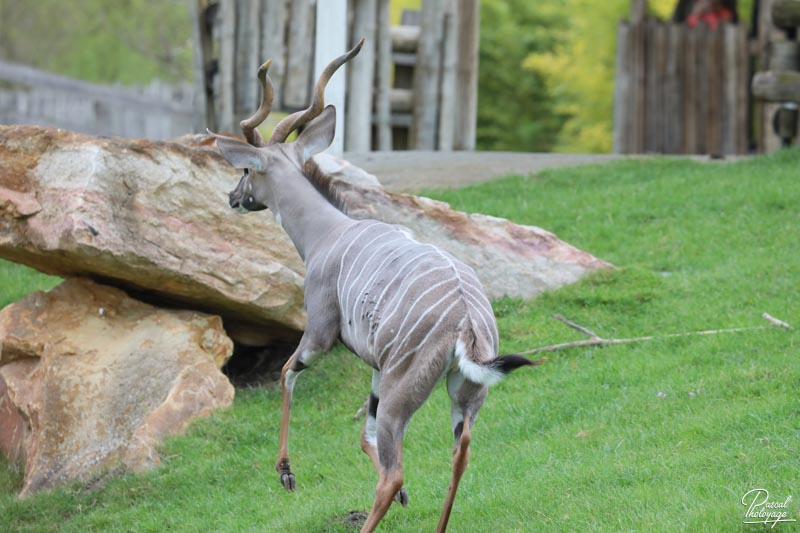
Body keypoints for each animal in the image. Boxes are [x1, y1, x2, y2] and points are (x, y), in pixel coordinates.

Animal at [209, 39, 548, 528]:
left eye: (246, 172)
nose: (234, 198)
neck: (329, 232)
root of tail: (466, 323)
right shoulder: (374, 365)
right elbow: (362, 435)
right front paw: (408, 497)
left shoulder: (320, 333)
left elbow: (288, 372)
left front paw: (286, 472)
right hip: (459, 393)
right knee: (459, 452)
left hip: (399, 393)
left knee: (393, 471)